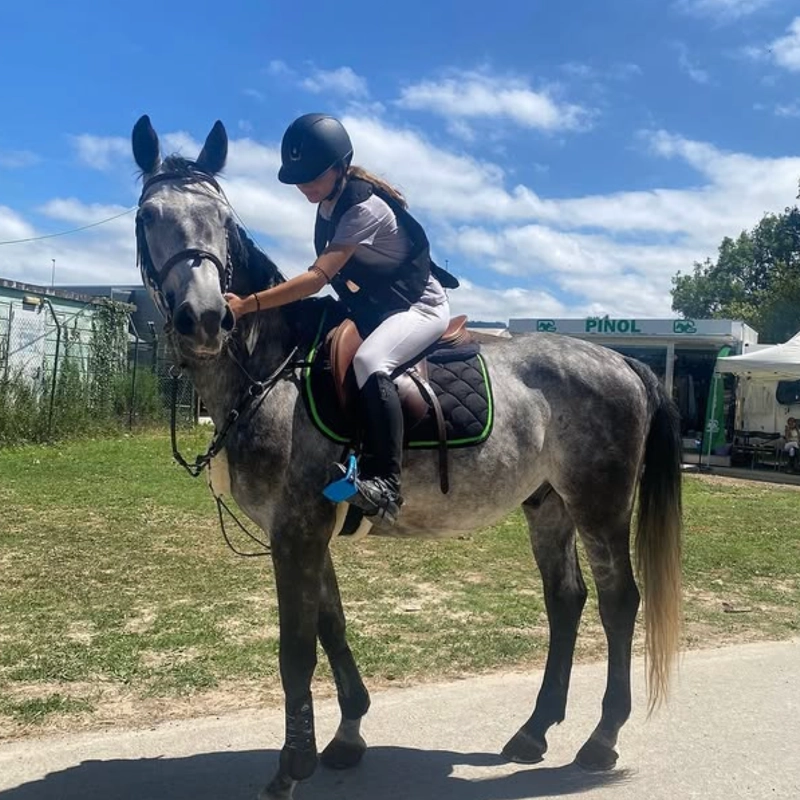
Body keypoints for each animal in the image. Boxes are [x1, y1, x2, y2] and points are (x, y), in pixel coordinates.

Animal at [131, 115, 683, 800]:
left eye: (224, 221)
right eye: (148, 215)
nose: (206, 318)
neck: (275, 369)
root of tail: (624, 361)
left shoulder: (297, 531)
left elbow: (296, 648)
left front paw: (290, 768)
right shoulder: (307, 530)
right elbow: (331, 627)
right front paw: (346, 736)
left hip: (599, 505)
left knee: (617, 603)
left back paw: (601, 739)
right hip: (547, 504)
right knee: (565, 600)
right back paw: (533, 731)